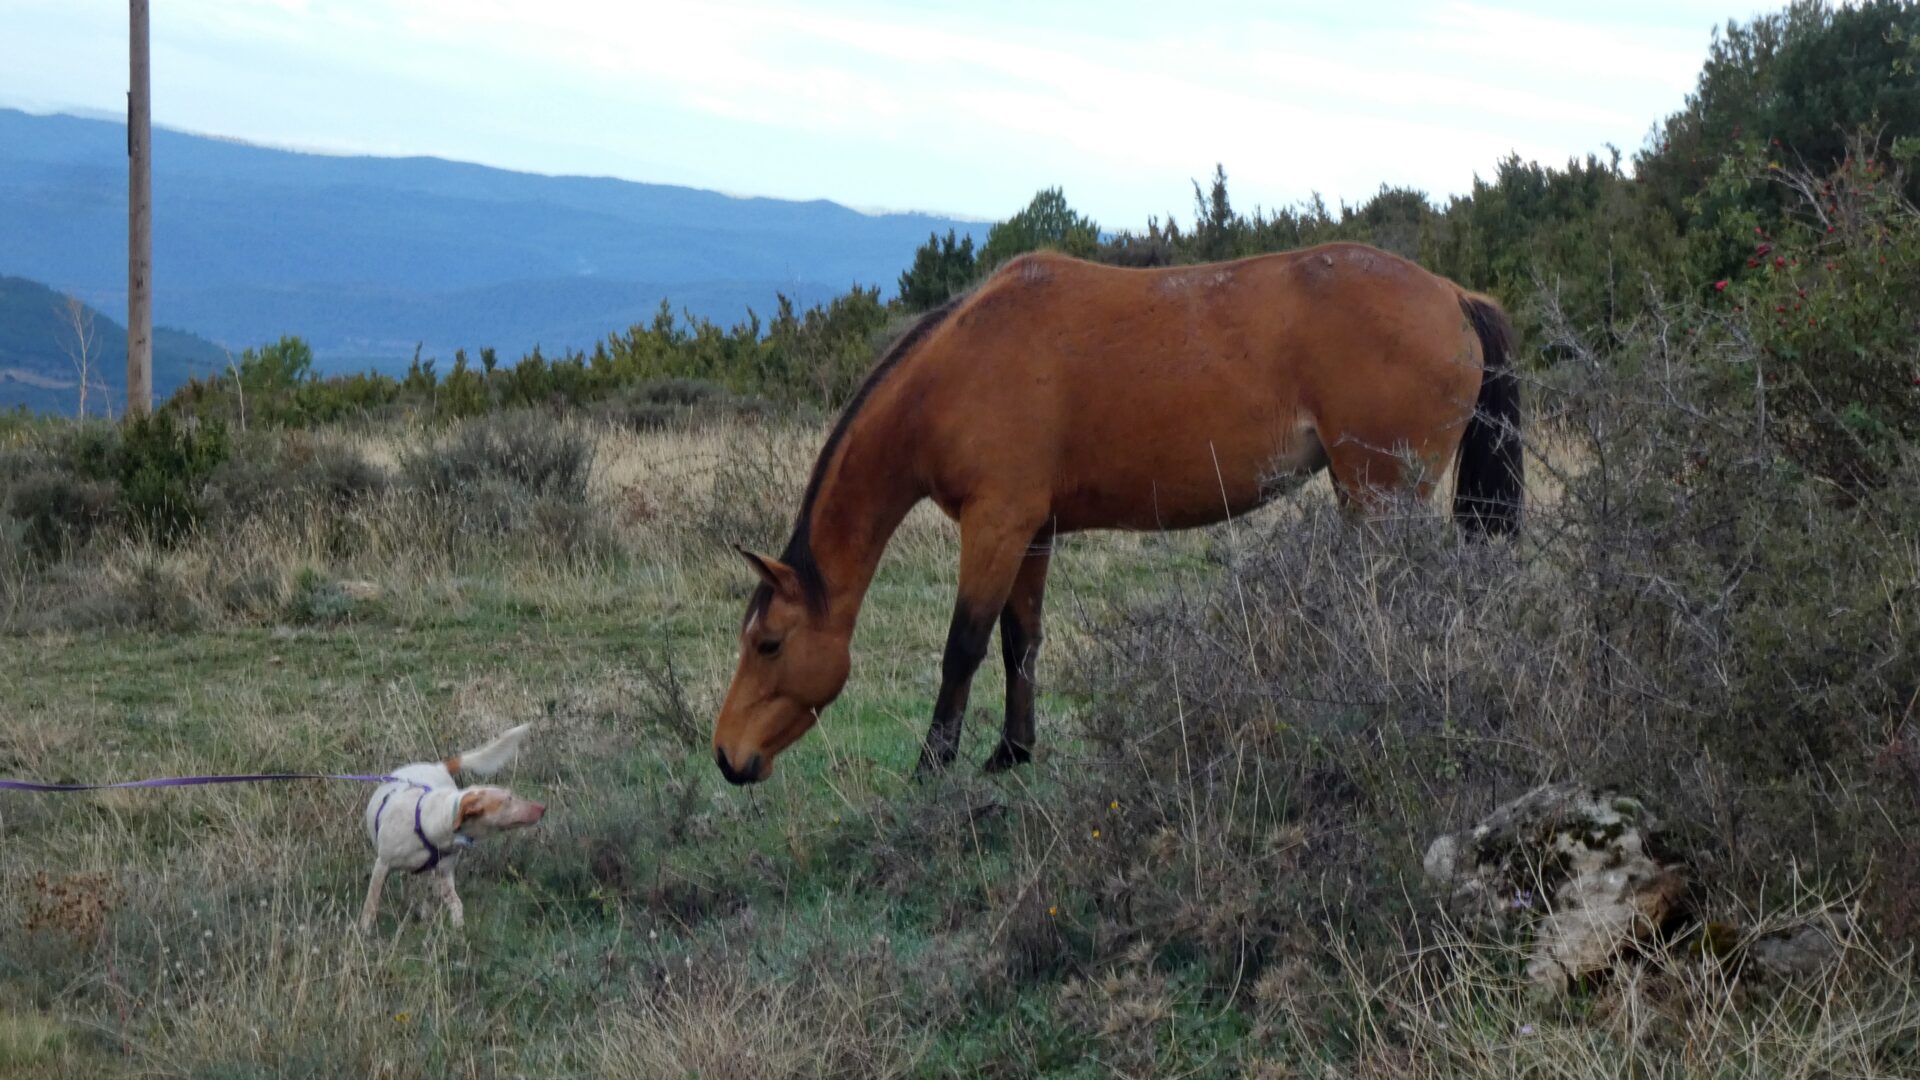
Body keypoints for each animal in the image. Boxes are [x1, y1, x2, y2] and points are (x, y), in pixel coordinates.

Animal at [360, 722, 545, 926]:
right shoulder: (382, 865)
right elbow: (370, 906)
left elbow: (456, 904)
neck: (429, 824)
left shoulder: (444, 875)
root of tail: (439, 766)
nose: (542, 808)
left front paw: (458, 929)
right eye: (508, 799)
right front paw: (364, 929)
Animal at [714, 244, 1520, 780]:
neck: (958, 367)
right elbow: (1020, 642)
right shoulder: (1032, 531)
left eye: (770, 645)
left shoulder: (995, 523)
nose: (726, 755)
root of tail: (1453, 294)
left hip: (1383, 496)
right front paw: (1012, 752)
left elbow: (964, 646)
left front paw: (931, 768)